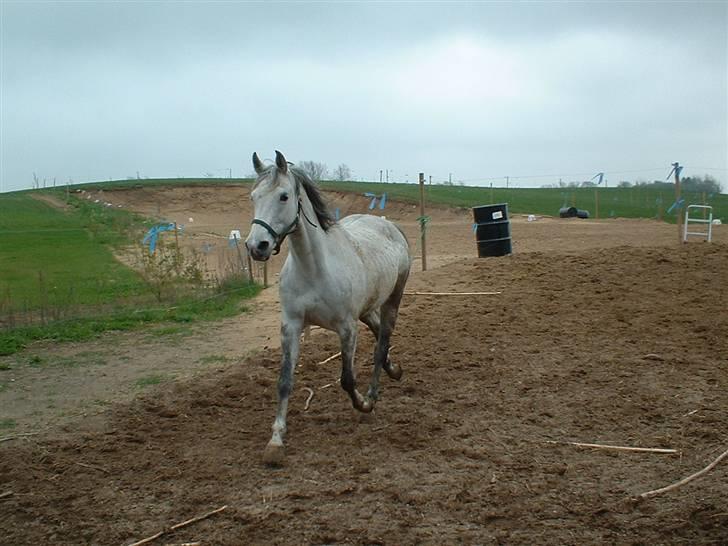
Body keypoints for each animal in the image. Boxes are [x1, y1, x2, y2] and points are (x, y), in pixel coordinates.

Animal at [247, 151, 412, 466]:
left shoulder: (346, 328)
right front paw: (276, 441)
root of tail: (389, 225)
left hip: (392, 301)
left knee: (381, 343)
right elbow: (284, 381)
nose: (256, 246)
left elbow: (347, 379)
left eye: (284, 196)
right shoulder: (291, 326)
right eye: (254, 197)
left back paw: (374, 392)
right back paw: (394, 370)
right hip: (367, 309)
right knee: (378, 335)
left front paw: (363, 404)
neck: (314, 270)